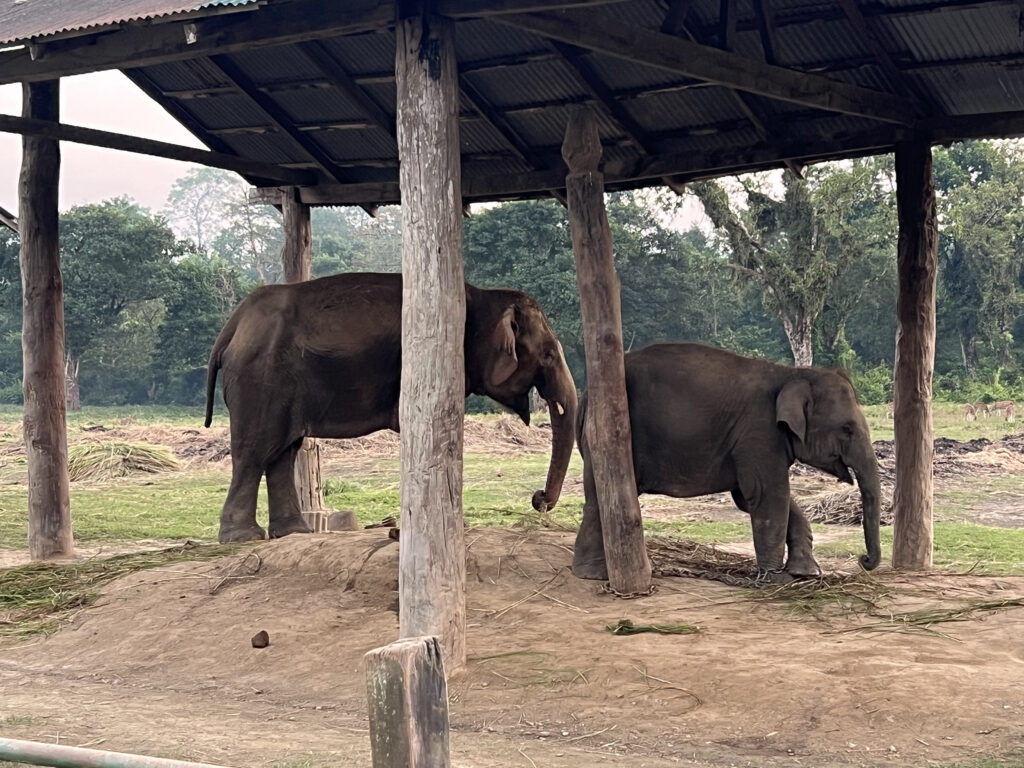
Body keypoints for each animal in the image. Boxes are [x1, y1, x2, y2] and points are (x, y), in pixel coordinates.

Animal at [205, 272, 578, 544]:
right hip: (260, 379)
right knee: (255, 451)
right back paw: (243, 538)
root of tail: (233, 326)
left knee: (283, 452)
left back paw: (294, 533)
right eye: (547, 355)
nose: (539, 499)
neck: (483, 296)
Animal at [572, 342, 882, 581]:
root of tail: (586, 395)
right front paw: (775, 579)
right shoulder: (759, 433)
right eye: (847, 429)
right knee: (600, 497)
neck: (791, 374)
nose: (863, 560)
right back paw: (595, 575)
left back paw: (591, 573)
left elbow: (753, 497)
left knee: (596, 497)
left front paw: (805, 573)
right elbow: (768, 495)